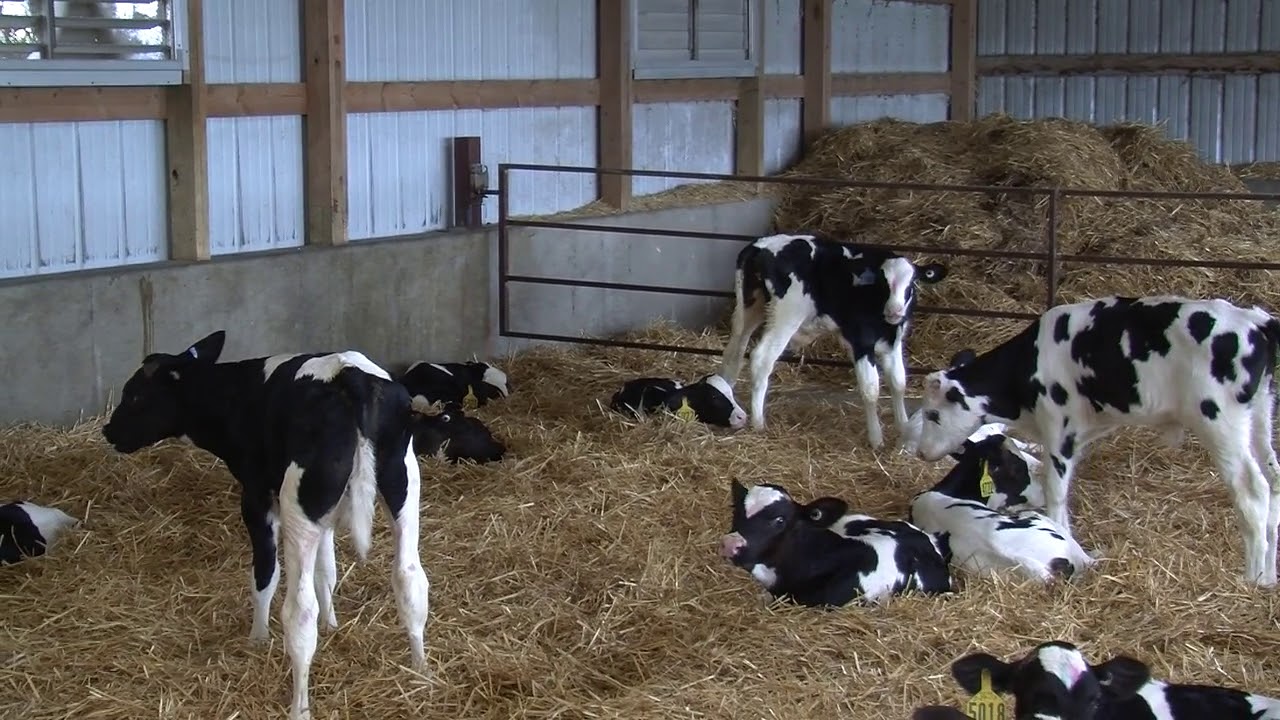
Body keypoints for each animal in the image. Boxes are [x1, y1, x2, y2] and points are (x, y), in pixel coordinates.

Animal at [100, 331, 430, 720]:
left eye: (135, 394)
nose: (108, 430)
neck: (238, 396)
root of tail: (349, 376)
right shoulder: (324, 513)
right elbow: (327, 570)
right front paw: (332, 625)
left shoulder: (256, 495)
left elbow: (265, 574)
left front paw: (257, 639)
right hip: (400, 483)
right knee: (409, 577)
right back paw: (421, 671)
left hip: (298, 501)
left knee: (300, 610)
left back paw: (300, 706)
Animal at [717, 233, 948, 448]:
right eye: (883, 282)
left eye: (911, 283)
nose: (895, 310)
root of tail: (760, 246)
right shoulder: (861, 341)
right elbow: (870, 388)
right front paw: (876, 439)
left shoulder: (893, 342)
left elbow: (899, 382)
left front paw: (903, 428)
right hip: (786, 315)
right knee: (761, 358)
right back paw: (758, 423)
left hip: (750, 307)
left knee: (734, 352)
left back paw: (726, 393)